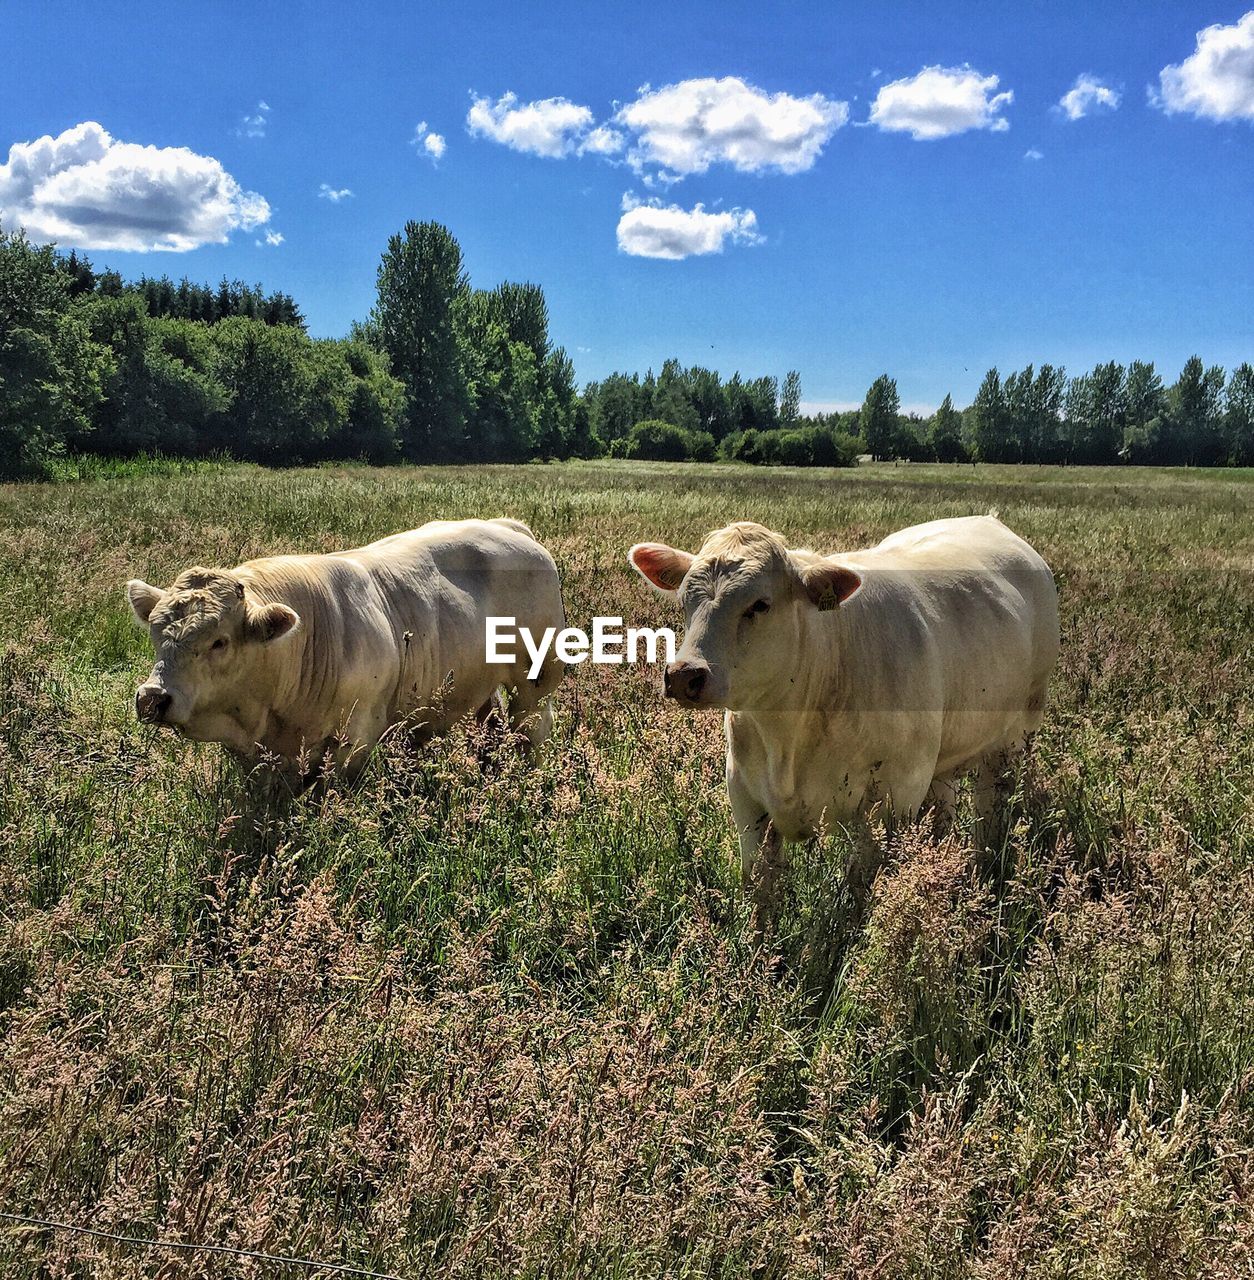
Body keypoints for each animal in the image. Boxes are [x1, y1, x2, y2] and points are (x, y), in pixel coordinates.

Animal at [127, 514, 563, 773]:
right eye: (155, 634)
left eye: (219, 642)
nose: (152, 697)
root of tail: (508, 526)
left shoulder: (355, 738)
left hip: (535, 679)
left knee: (532, 727)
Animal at [627, 514, 1059, 916]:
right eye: (685, 601)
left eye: (760, 604)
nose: (684, 675)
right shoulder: (746, 797)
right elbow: (760, 891)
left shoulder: (895, 797)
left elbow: (857, 895)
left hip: (1014, 739)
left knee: (992, 815)